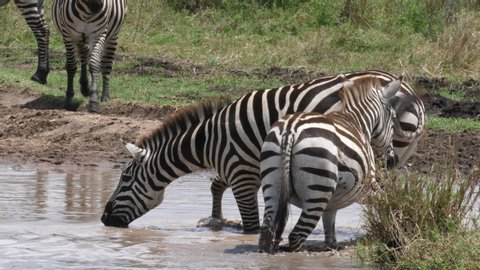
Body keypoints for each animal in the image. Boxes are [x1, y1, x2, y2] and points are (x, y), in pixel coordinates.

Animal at [101, 70, 424, 233]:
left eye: (125, 179)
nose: (103, 219)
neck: (210, 141)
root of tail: (413, 96)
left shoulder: (241, 173)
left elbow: (250, 223)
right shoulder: (241, 167)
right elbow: (215, 186)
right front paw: (216, 220)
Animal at [258, 75, 402, 252]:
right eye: (394, 117)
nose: (392, 161)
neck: (359, 121)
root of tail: (291, 129)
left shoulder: (332, 201)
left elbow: (329, 223)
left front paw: (331, 246)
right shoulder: (369, 184)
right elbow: (383, 203)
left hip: (272, 181)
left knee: (266, 232)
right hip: (318, 189)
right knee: (296, 235)